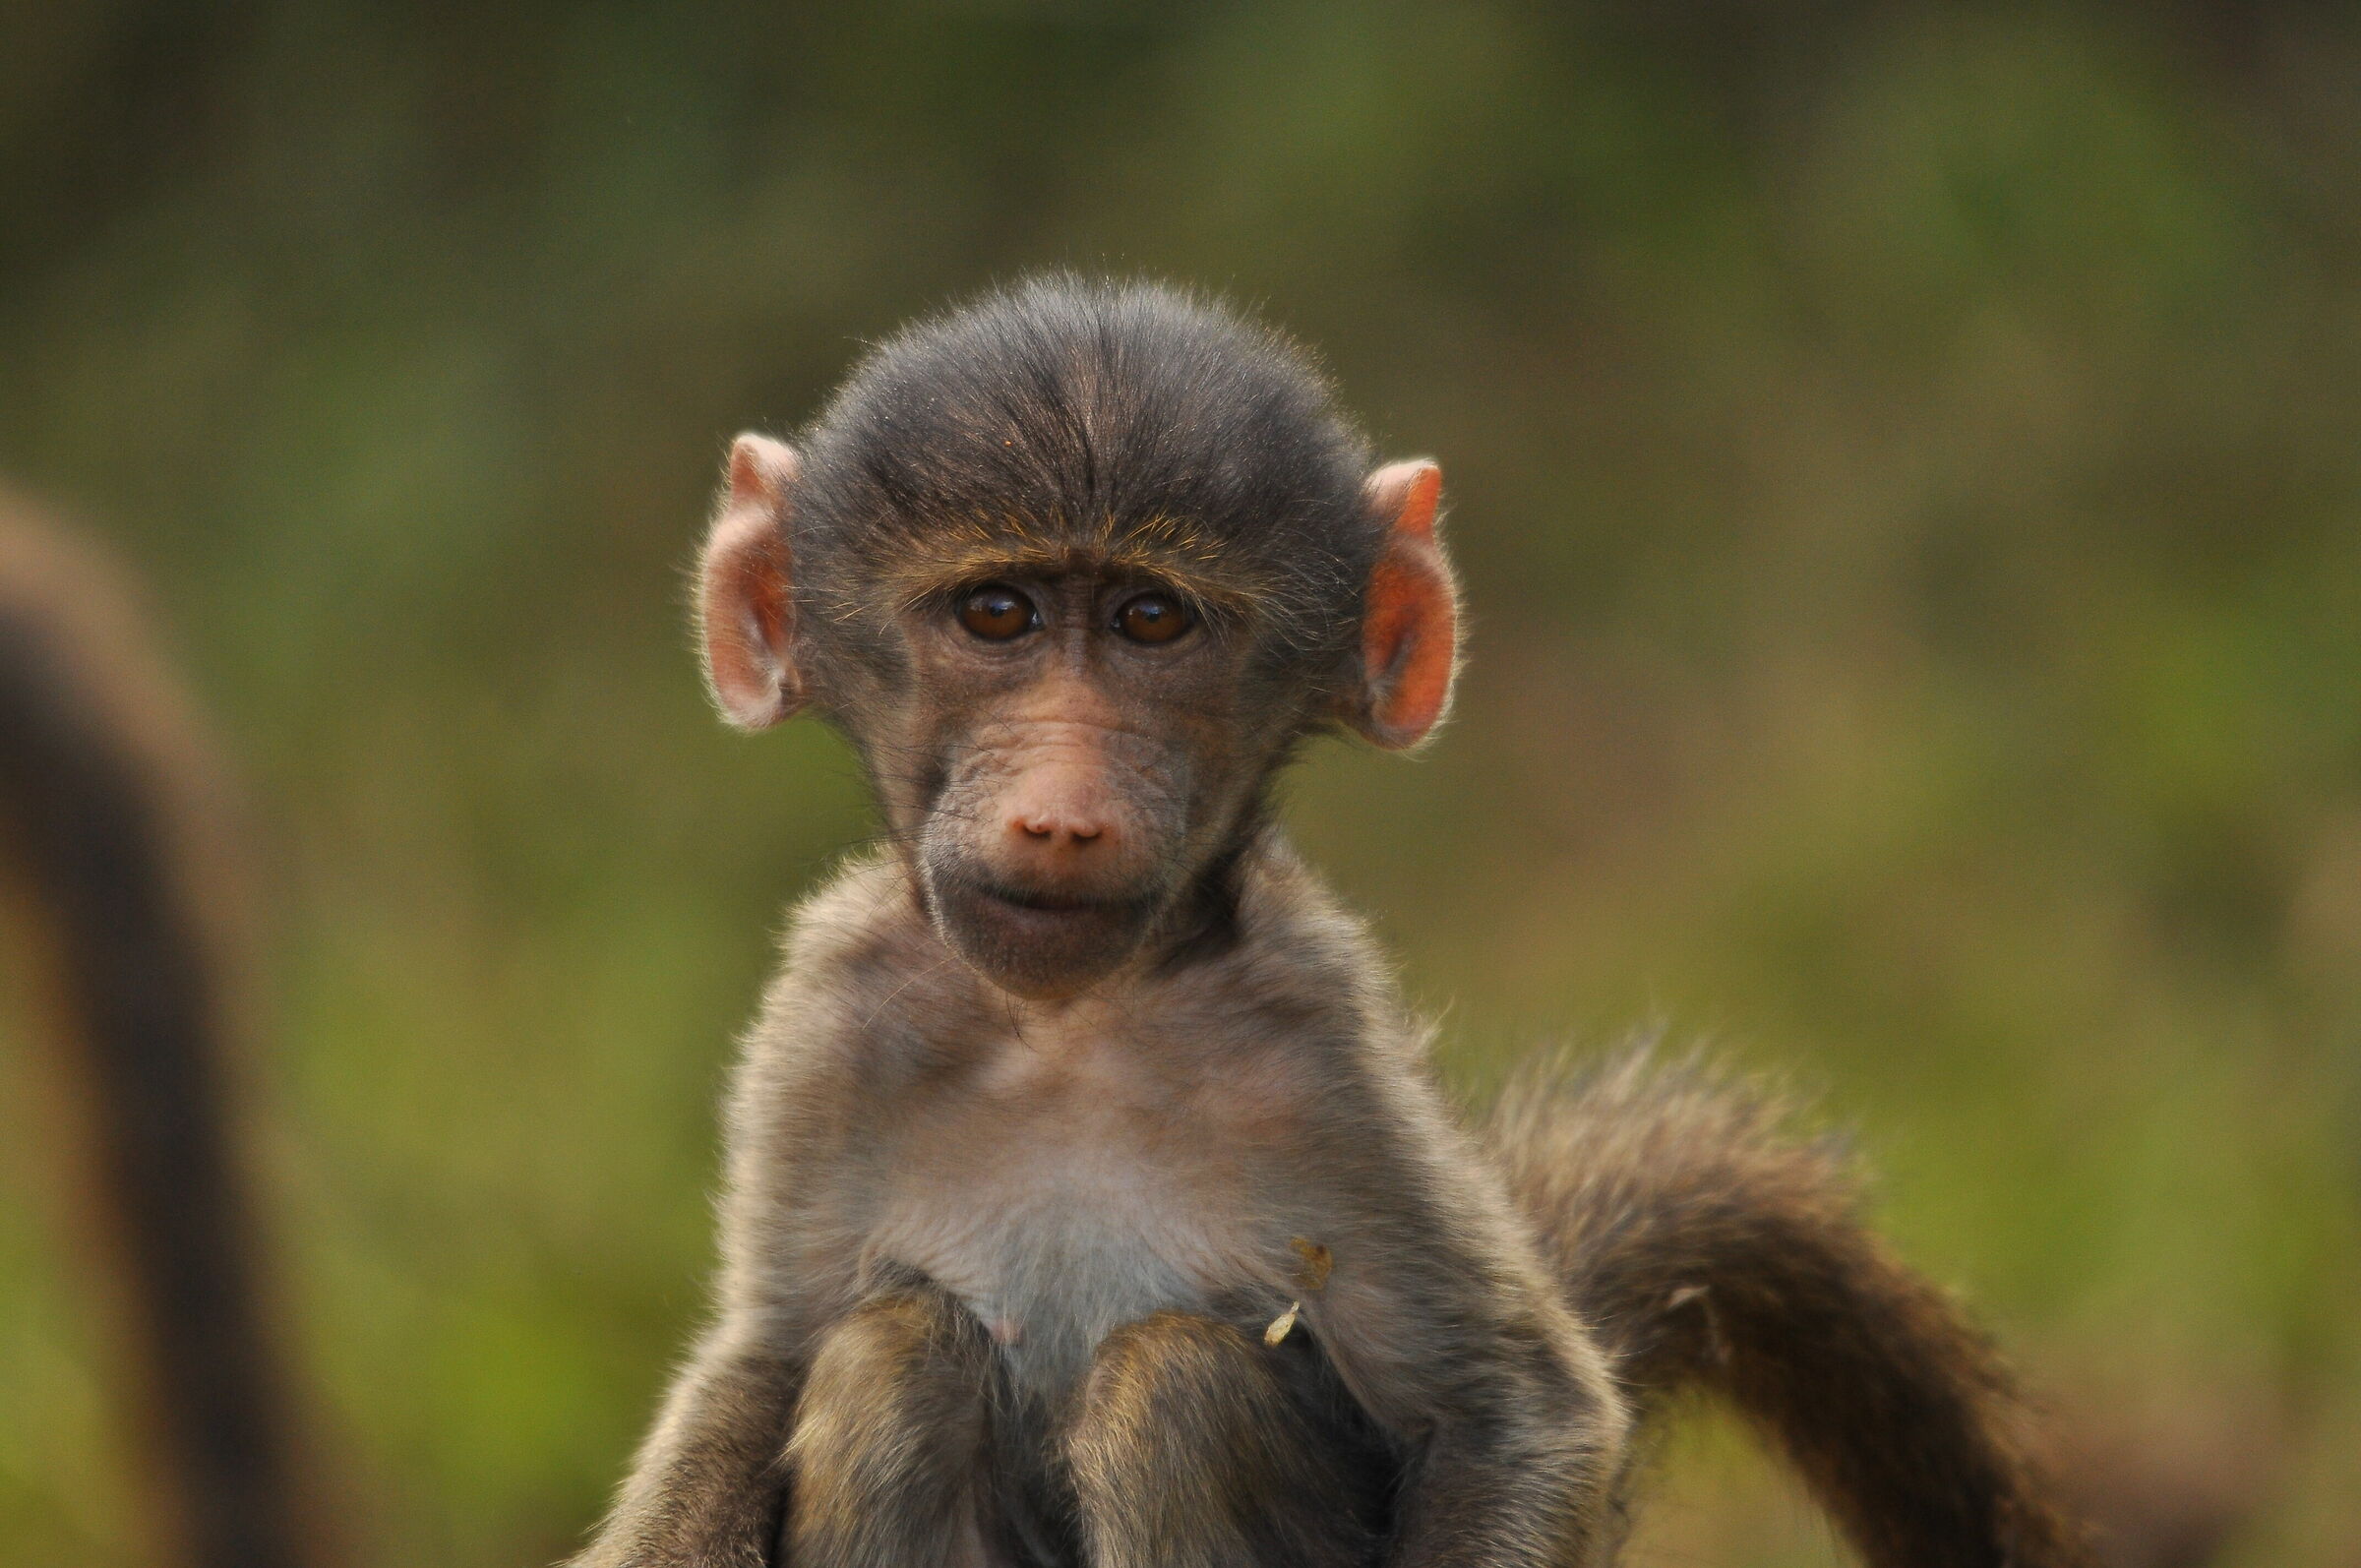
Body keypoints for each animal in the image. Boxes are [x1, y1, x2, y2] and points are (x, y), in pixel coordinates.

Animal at [568, 273, 2096, 1568]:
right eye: (997, 612)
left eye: (1153, 621)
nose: (1063, 814)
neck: (1068, 1028)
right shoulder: (830, 1017)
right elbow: (762, 1362)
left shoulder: (1321, 1034)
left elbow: (1514, 1414)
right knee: (895, 1351)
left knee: (1170, 1382)